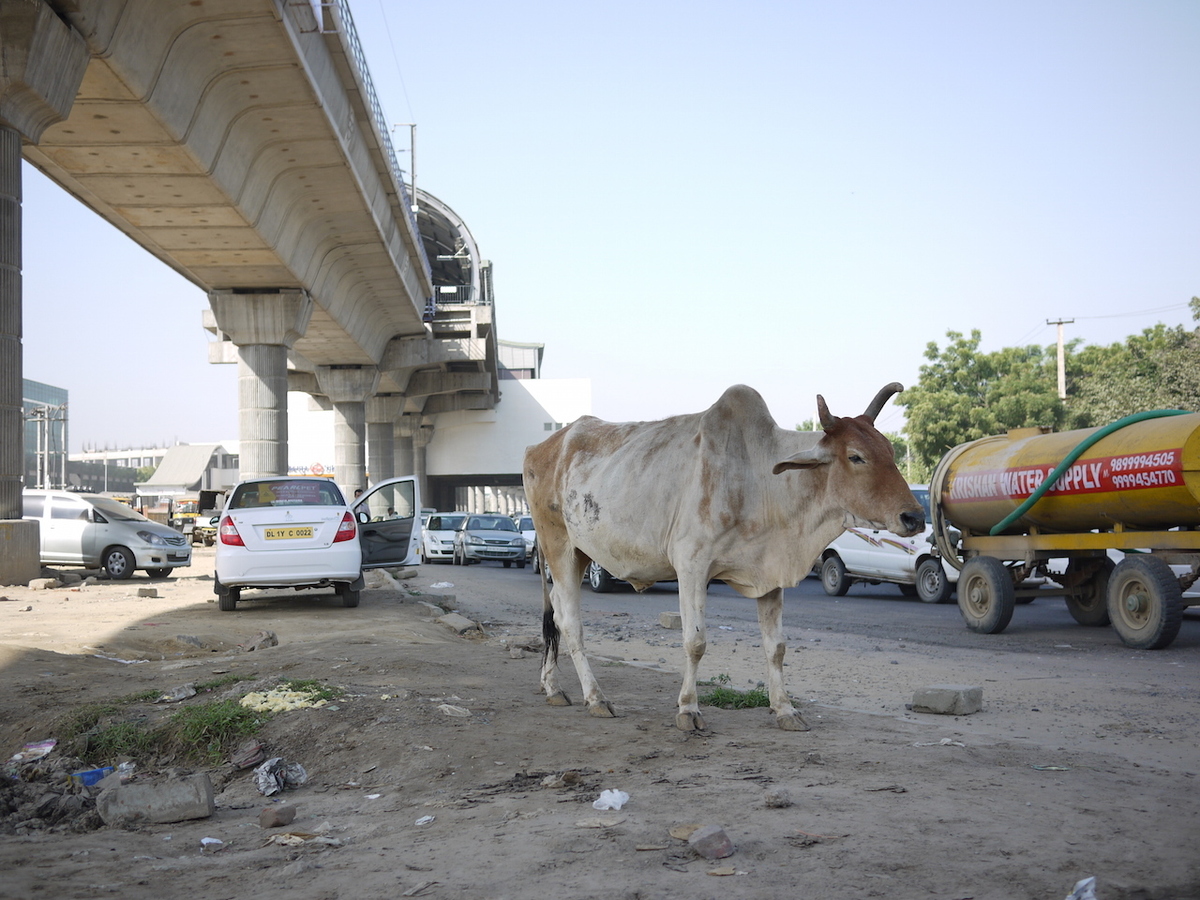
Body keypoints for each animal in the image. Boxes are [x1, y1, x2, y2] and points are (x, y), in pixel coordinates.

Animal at [520, 381, 921, 734]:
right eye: (856, 456)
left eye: (891, 452)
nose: (914, 517)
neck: (760, 479)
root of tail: (540, 446)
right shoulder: (692, 566)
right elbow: (695, 642)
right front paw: (688, 710)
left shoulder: (770, 575)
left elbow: (776, 647)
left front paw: (785, 709)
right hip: (558, 544)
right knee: (570, 621)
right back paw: (596, 698)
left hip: (580, 553)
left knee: (556, 610)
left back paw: (553, 687)